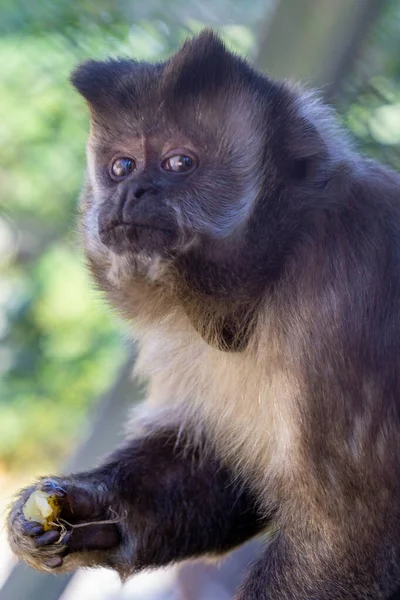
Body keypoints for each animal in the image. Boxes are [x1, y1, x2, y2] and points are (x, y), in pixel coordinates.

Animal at [6, 30, 400, 600]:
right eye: (121, 166)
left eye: (179, 163)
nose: (131, 191)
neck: (273, 276)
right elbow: (211, 467)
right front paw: (80, 506)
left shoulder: (349, 297)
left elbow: (353, 533)